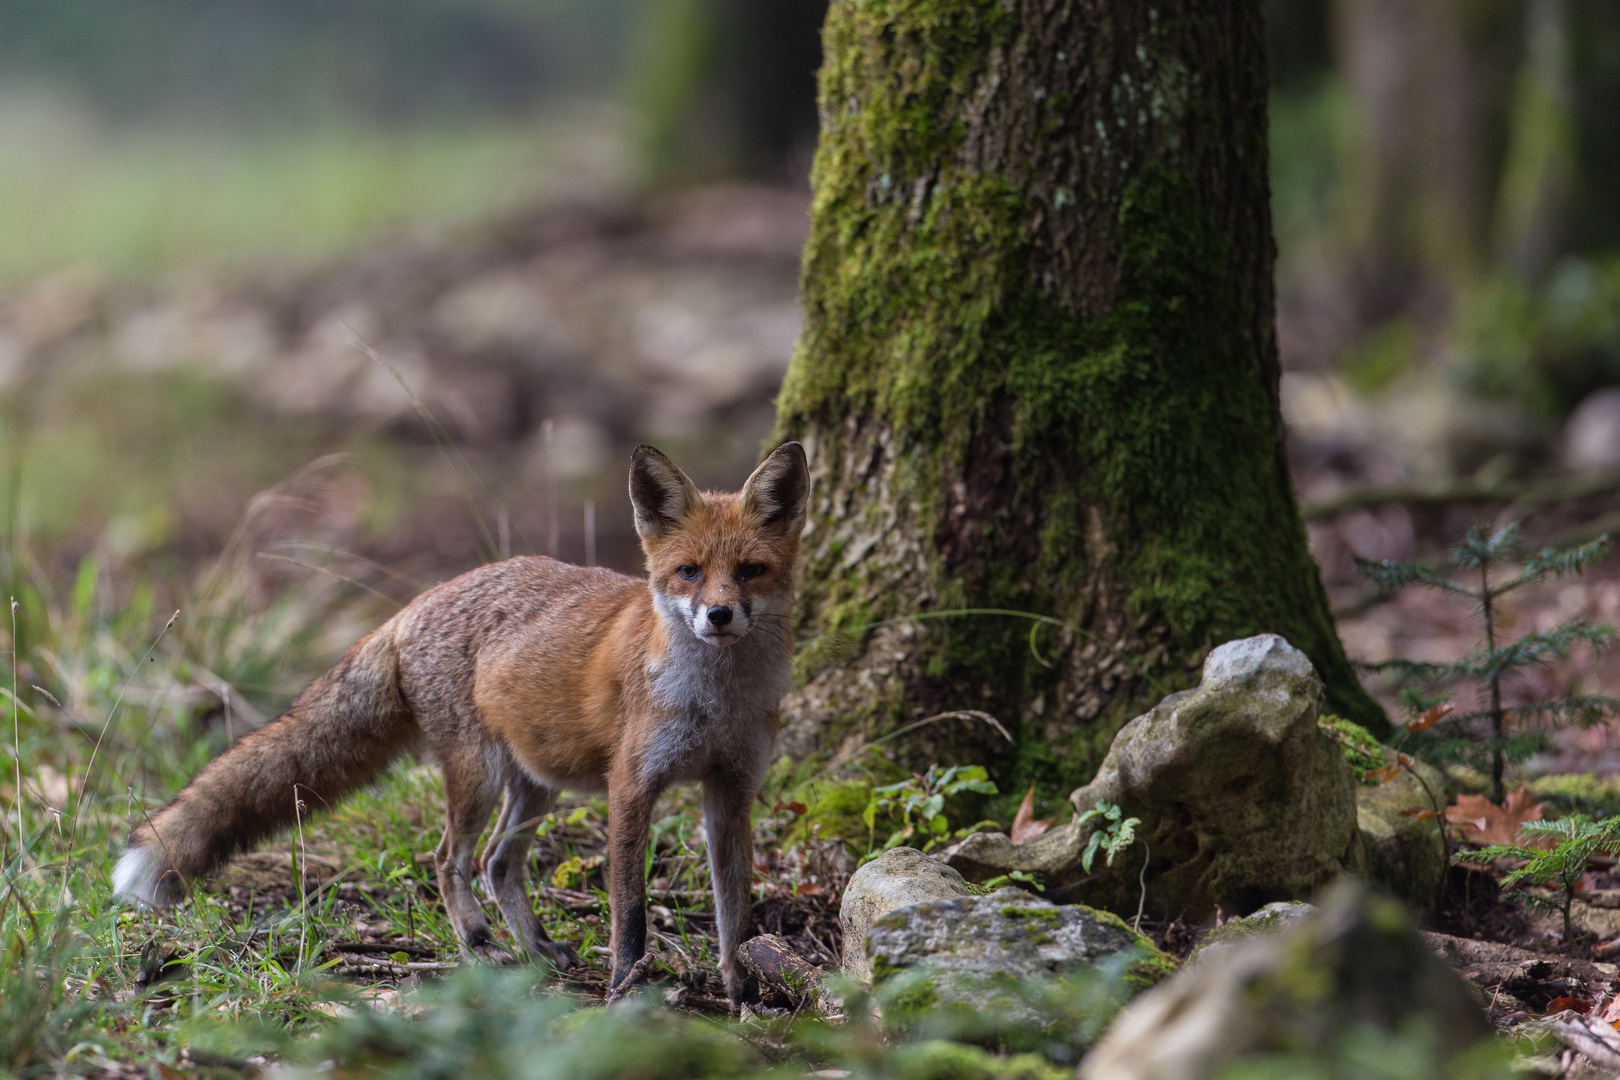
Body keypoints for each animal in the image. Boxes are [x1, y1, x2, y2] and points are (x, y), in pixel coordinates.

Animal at [114, 443, 810, 1003]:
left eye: (751, 571)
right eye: (689, 571)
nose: (718, 616)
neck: (715, 700)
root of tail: (415, 604)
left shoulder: (731, 789)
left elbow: (735, 910)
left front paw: (743, 989)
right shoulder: (631, 787)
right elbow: (630, 914)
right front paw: (625, 989)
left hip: (537, 781)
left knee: (498, 863)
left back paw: (536, 948)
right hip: (480, 775)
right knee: (449, 858)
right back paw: (478, 943)